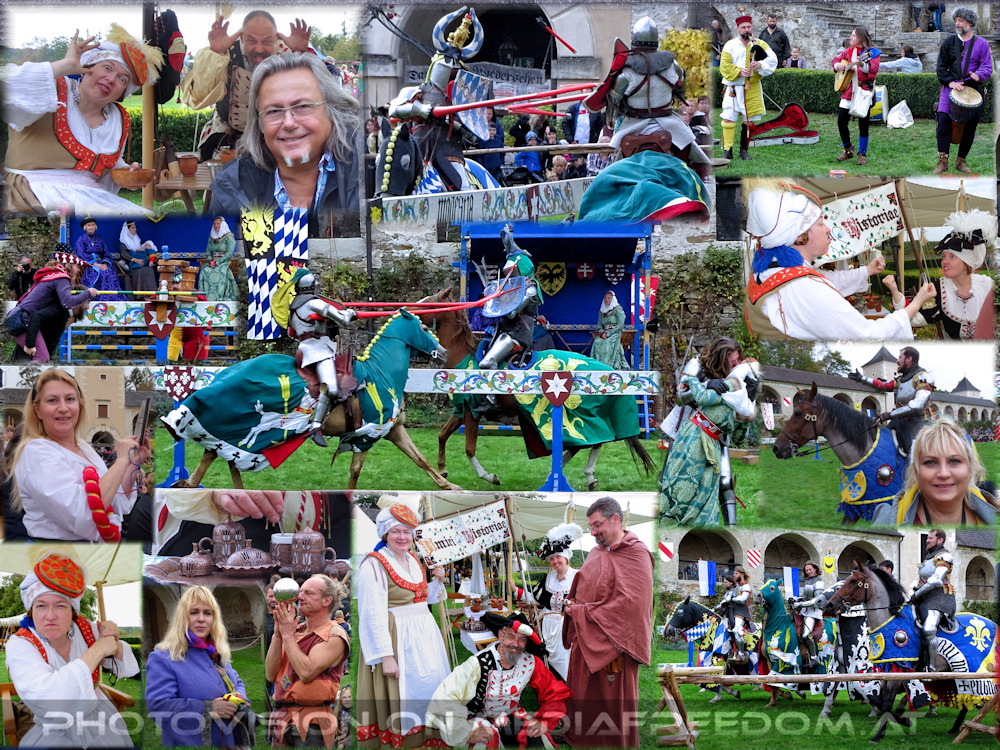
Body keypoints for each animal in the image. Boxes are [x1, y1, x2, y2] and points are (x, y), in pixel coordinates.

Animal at [162, 309, 461, 490]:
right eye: (424, 328)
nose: (445, 352)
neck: (381, 372)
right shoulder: (367, 435)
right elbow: (355, 471)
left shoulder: (394, 430)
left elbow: (420, 459)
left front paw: (450, 485)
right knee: (215, 452)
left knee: (215, 452)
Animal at [420, 288, 654, 489]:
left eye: (430, 304)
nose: (412, 314)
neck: (464, 358)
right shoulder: (462, 410)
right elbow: (442, 435)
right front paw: (442, 471)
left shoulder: (472, 412)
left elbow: (469, 449)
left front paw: (489, 476)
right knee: (591, 442)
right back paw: (575, 474)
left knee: (590, 441)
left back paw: (570, 473)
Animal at [827, 561, 997, 742]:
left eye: (853, 581)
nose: (830, 604)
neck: (890, 619)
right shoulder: (887, 670)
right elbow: (880, 701)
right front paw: (901, 718)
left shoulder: (896, 672)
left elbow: (886, 704)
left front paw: (882, 733)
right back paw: (954, 728)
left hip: (971, 671)